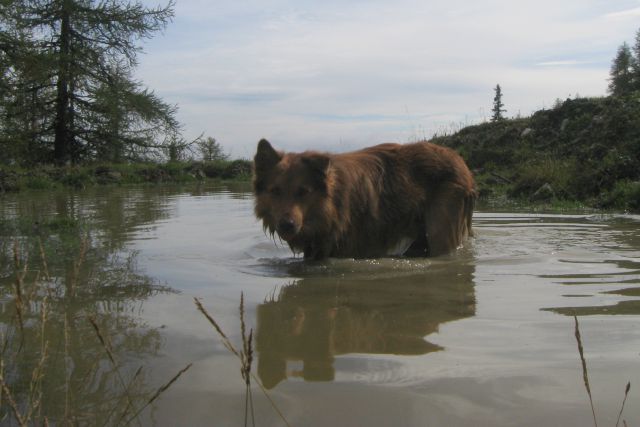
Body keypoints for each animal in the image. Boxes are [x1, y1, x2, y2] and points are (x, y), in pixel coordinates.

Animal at [254, 139, 476, 260]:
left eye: (303, 191)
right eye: (275, 191)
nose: (287, 225)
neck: (331, 206)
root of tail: (462, 162)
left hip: (441, 232)